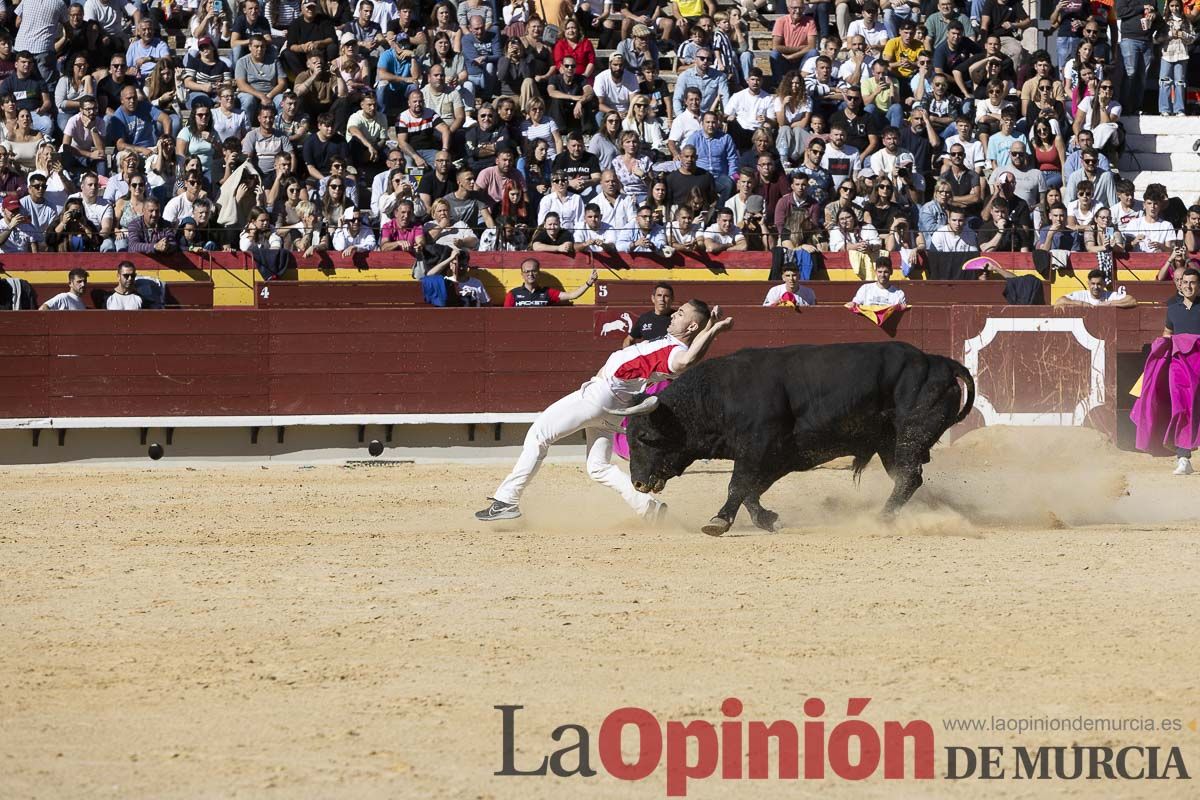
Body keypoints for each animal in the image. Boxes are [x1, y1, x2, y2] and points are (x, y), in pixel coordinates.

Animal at [628, 340, 974, 534]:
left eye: (644, 437)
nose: (638, 483)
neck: (717, 397)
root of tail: (938, 362)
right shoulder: (777, 457)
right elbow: (750, 491)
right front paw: (768, 520)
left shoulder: (757, 450)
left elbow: (738, 485)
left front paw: (719, 521)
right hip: (890, 444)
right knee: (907, 478)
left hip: (909, 437)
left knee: (908, 477)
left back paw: (882, 518)